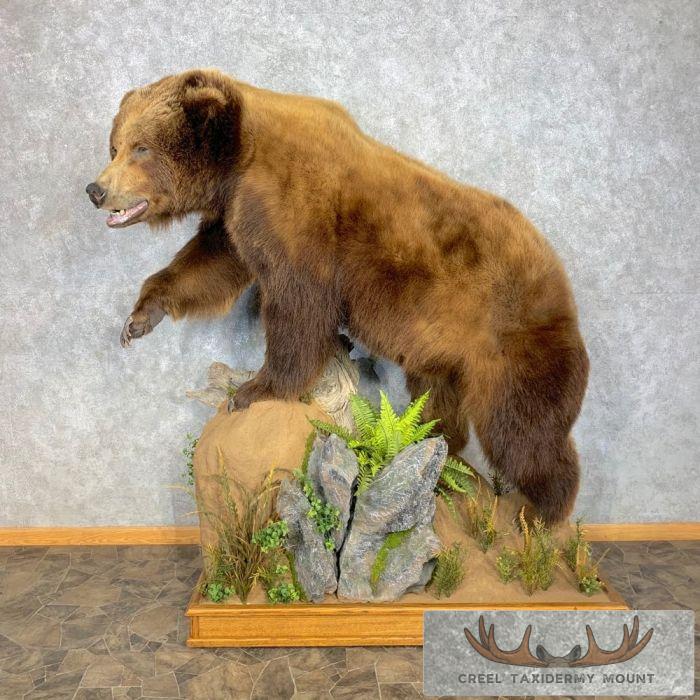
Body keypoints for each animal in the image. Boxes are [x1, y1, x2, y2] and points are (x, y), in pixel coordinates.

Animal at [86, 68, 589, 524]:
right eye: (115, 145)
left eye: (142, 148)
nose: (96, 189)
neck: (239, 162)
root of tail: (561, 281)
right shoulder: (237, 218)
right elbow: (209, 265)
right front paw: (138, 319)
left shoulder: (297, 214)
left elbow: (297, 308)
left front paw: (254, 389)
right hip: (446, 350)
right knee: (439, 402)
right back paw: (436, 448)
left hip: (512, 343)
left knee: (524, 432)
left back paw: (542, 514)